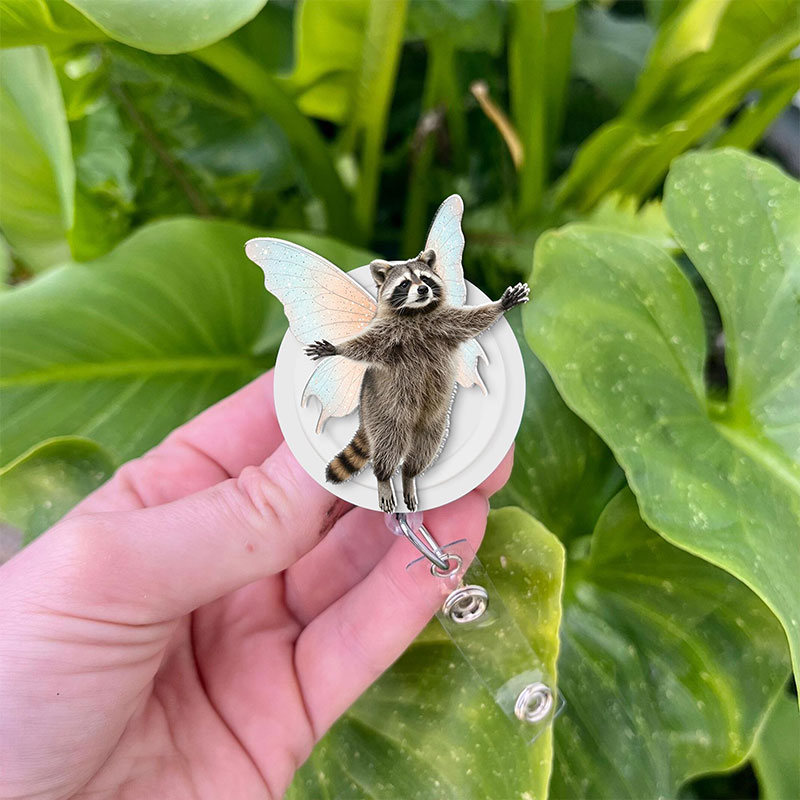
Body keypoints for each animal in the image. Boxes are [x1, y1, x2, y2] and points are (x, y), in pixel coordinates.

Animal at [305, 249, 529, 513]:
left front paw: (501, 305)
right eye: (404, 284)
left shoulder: (446, 324)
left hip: (434, 422)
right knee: (389, 445)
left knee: (424, 448)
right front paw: (337, 348)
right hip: (386, 413)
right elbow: (364, 346)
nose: (422, 290)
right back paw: (383, 477)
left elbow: (473, 320)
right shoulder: (387, 336)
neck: (417, 312)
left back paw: (409, 476)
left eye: (425, 278)